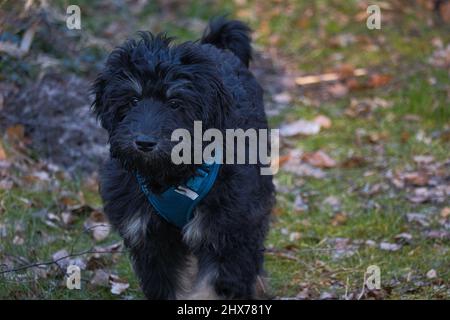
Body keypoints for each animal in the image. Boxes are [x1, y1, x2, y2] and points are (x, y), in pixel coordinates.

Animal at [91, 16, 274, 298]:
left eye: (175, 103)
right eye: (133, 100)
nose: (144, 142)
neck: (173, 176)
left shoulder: (229, 230)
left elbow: (216, 284)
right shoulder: (150, 236)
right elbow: (167, 285)